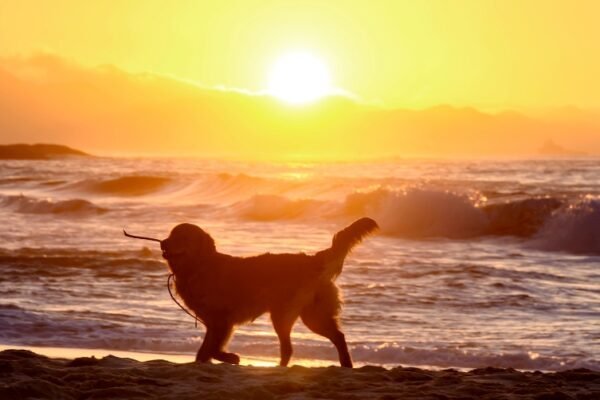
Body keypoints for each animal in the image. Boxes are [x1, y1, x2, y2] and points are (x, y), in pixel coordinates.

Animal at [129, 217, 378, 368]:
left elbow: (213, 349)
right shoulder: (214, 323)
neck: (199, 266)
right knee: (333, 338)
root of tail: (312, 259)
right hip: (309, 315)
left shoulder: (222, 321)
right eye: (171, 234)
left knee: (295, 346)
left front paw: (230, 358)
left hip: (288, 315)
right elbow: (204, 352)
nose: (163, 243)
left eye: (183, 237)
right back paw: (343, 366)